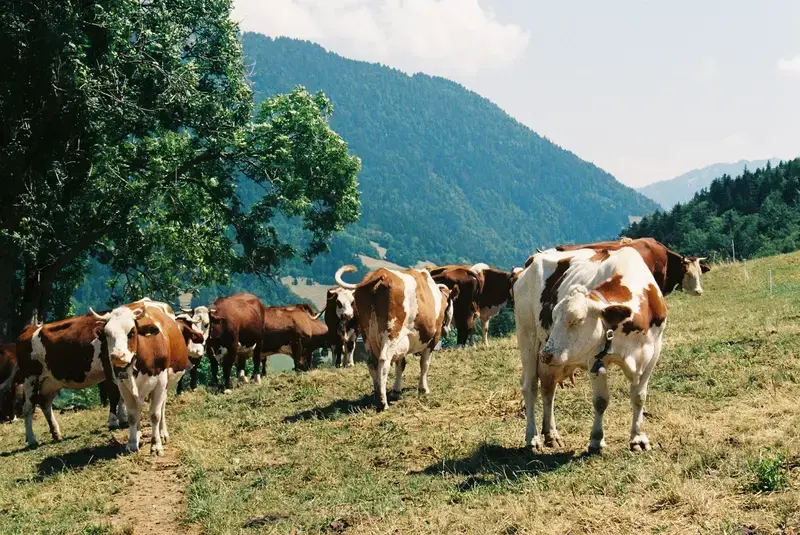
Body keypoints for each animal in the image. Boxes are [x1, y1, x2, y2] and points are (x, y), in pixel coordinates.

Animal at [16, 315, 126, 448]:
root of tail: (29, 329)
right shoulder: (109, 367)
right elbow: (115, 395)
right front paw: (114, 422)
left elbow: (123, 395)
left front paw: (124, 419)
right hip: (30, 378)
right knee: (28, 407)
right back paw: (32, 440)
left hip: (51, 382)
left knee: (45, 403)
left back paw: (56, 434)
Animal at [90, 299, 203, 455]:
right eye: (107, 334)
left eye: (132, 332)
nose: (117, 356)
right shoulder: (123, 385)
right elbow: (132, 416)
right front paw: (132, 443)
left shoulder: (160, 383)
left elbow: (155, 415)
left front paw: (156, 444)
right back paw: (138, 433)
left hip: (165, 385)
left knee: (161, 408)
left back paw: (162, 433)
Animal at [335, 264, 458, 411]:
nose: (448, 329)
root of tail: (380, 274)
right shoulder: (433, 337)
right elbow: (424, 363)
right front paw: (423, 389)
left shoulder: (403, 341)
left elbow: (401, 364)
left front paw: (396, 390)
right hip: (392, 332)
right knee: (383, 361)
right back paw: (383, 403)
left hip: (367, 335)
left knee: (371, 362)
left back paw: (377, 395)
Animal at [514, 246, 666, 453]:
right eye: (553, 317)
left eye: (576, 320)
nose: (546, 354)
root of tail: (532, 260)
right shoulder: (596, 358)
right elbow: (601, 400)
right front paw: (596, 440)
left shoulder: (653, 352)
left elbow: (639, 397)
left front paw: (638, 438)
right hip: (528, 337)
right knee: (530, 387)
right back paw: (533, 437)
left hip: (550, 360)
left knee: (548, 388)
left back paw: (551, 435)